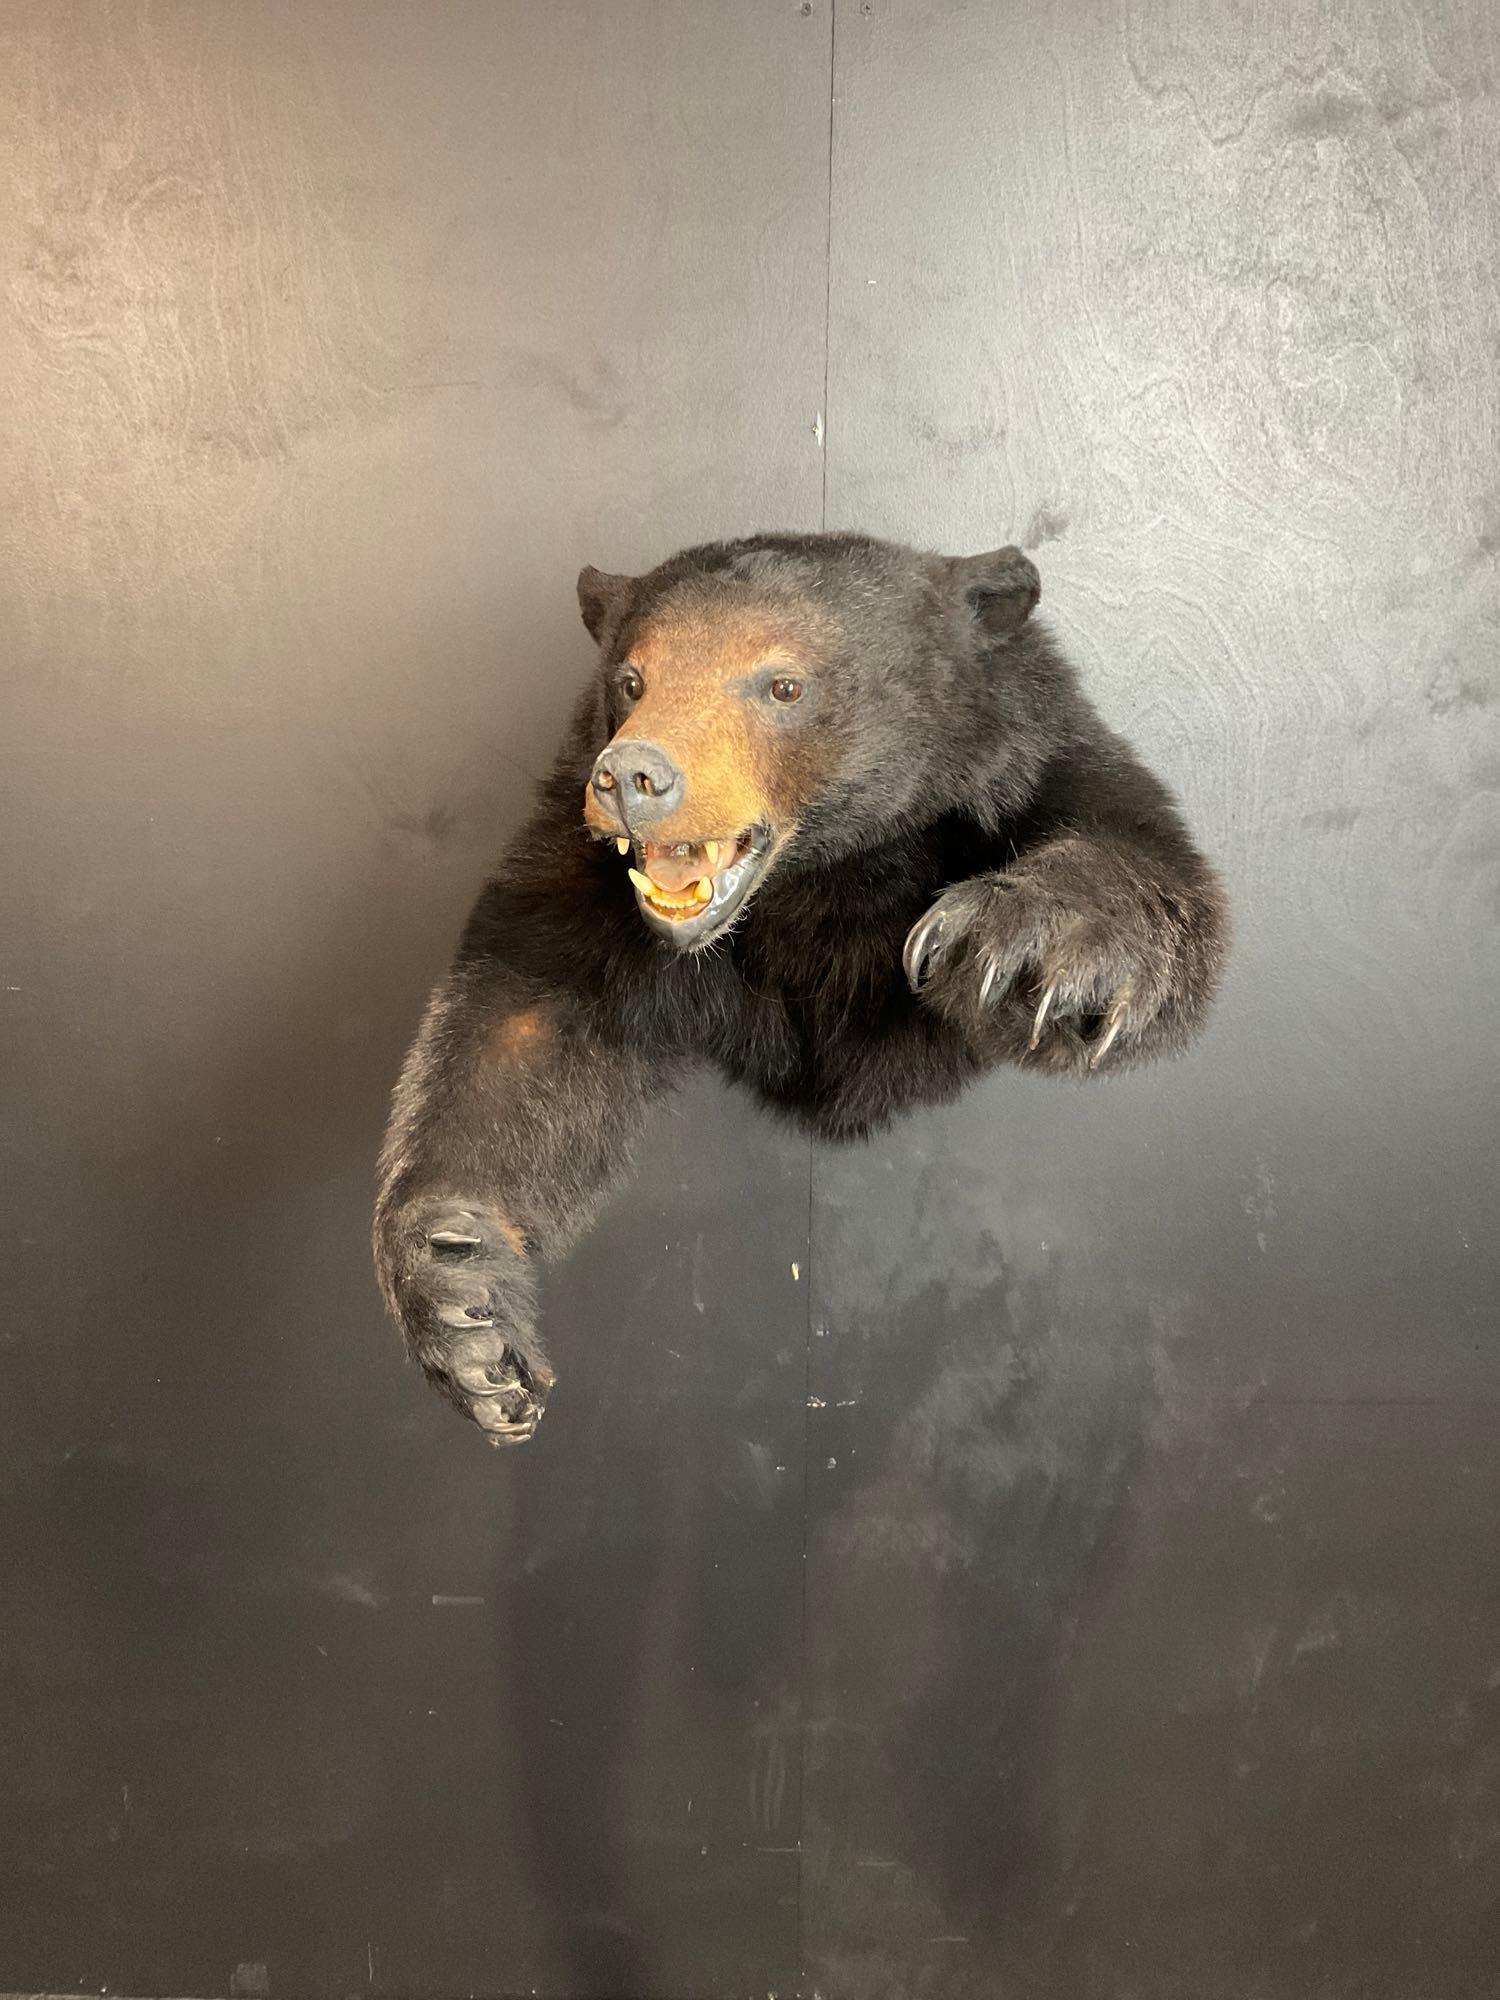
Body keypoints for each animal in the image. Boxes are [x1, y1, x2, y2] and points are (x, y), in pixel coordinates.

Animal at [374, 531, 1228, 1445]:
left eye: (782, 684)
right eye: (632, 680)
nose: (633, 777)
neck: (819, 882)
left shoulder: (1035, 768)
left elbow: (1154, 878)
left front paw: (1010, 946)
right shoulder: (582, 892)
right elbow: (518, 1036)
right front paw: (464, 1305)